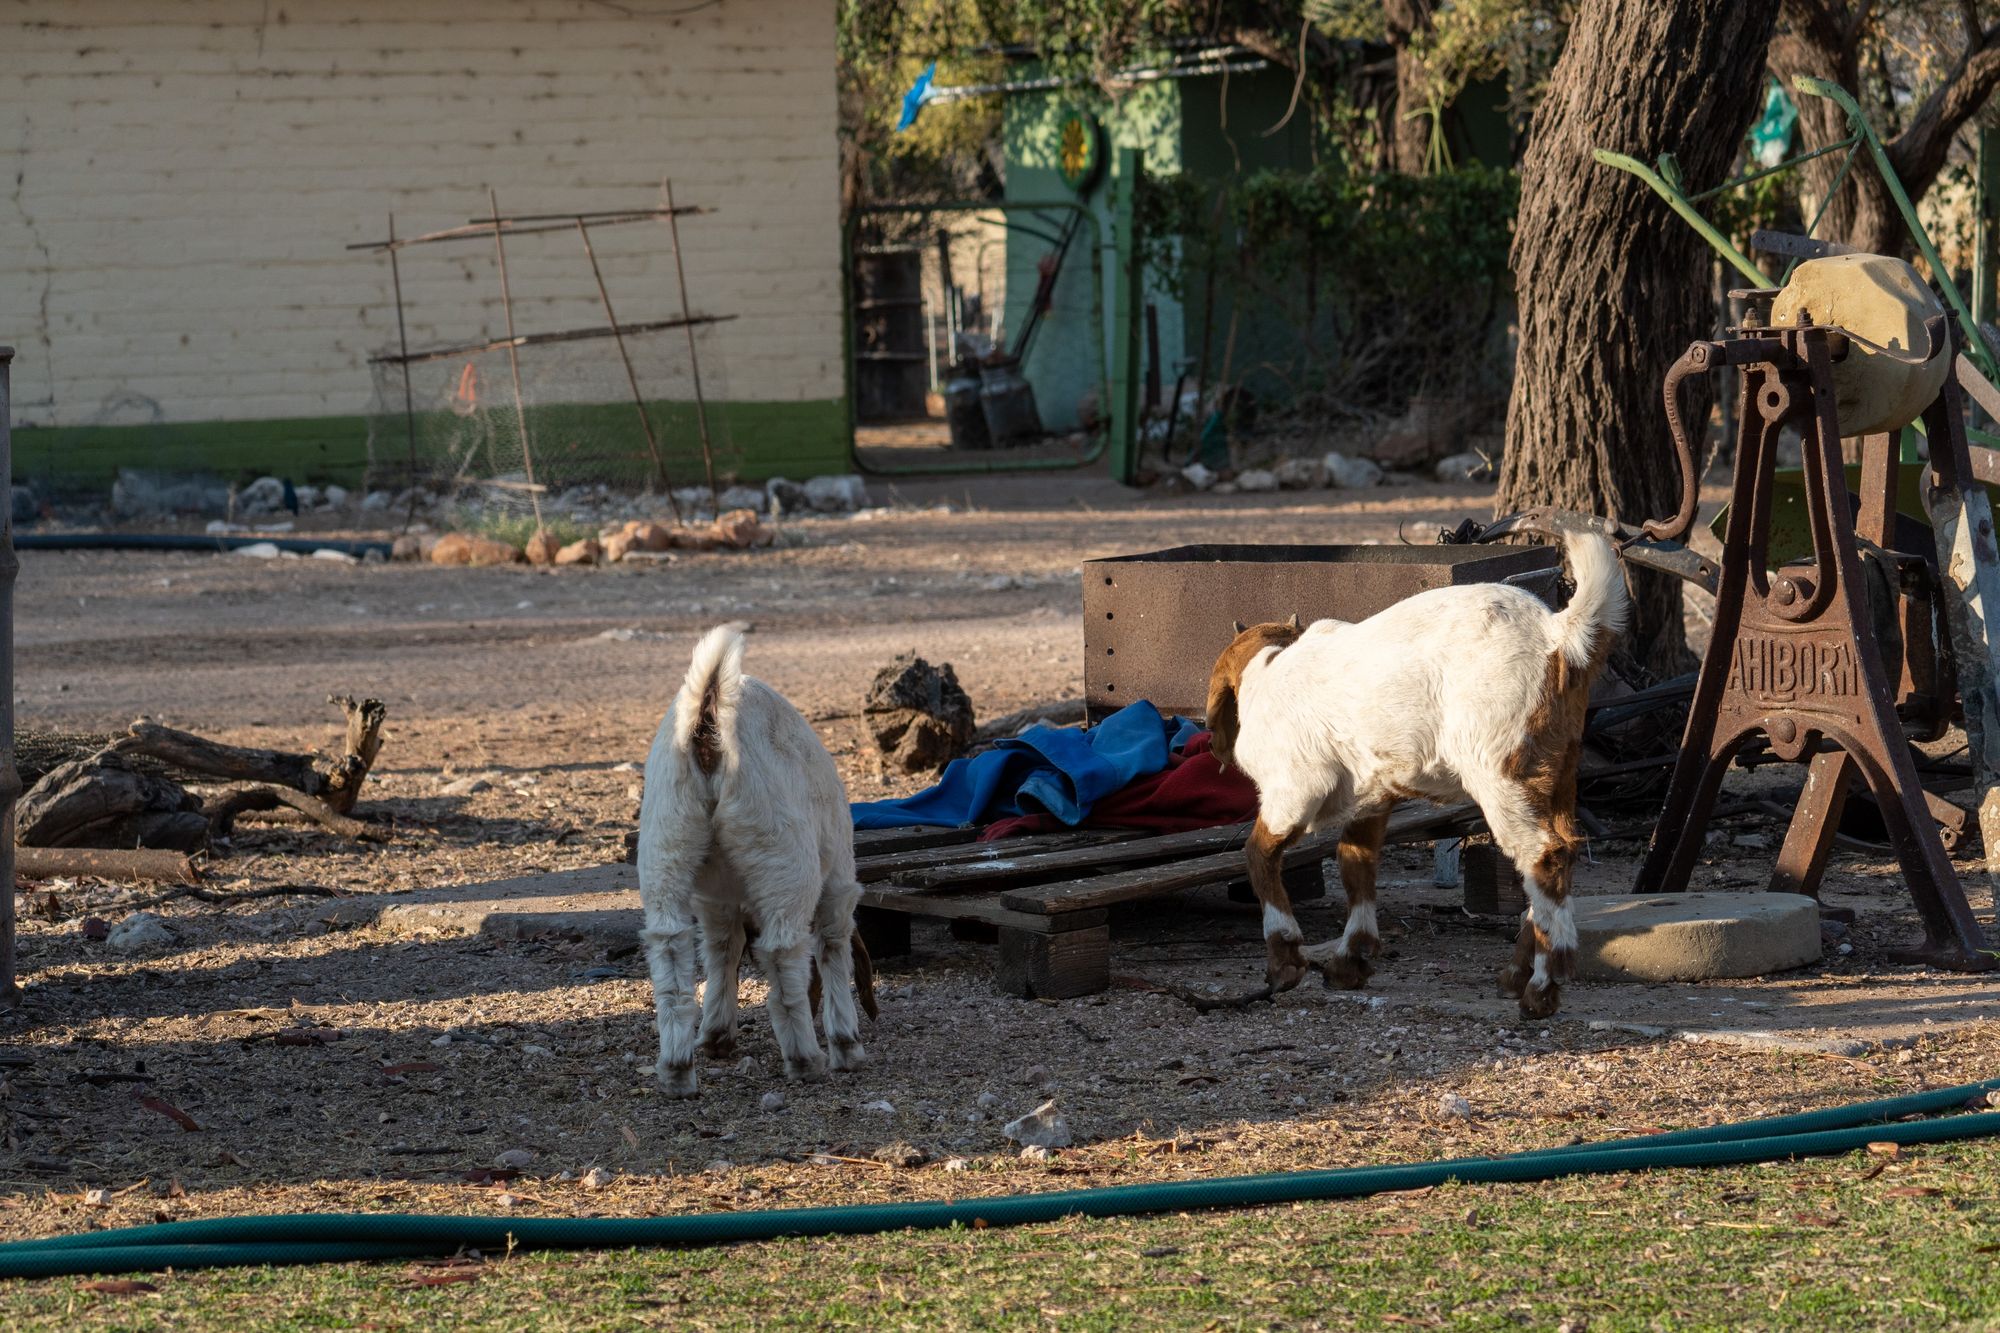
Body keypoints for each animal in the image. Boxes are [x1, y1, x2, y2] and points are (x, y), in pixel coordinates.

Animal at [632, 624, 868, 1088]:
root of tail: (708, 716)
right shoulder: (837, 881)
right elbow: (833, 944)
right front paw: (847, 1045)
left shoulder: (715, 900)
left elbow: (723, 945)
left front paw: (716, 1036)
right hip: (782, 854)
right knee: (782, 949)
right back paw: (804, 1059)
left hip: (665, 843)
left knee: (669, 947)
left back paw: (677, 1070)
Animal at [1200, 524, 1624, 1012]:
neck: (1267, 669)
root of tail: (1557, 634)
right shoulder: (1371, 795)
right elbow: (1355, 861)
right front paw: (1351, 959)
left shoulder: (1295, 789)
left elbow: (1258, 855)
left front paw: (1285, 958)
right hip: (1559, 769)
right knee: (1558, 852)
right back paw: (1517, 973)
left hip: (1500, 770)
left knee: (1542, 855)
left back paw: (1542, 983)